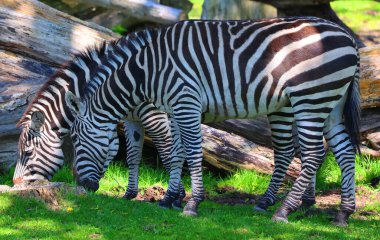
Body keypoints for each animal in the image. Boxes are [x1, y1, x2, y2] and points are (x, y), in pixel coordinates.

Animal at [14, 41, 186, 206]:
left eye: (28, 153)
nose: (15, 184)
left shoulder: (153, 116)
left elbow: (167, 153)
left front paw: (176, 196)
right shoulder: (127, 119)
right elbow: (128, 153)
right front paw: (129, 194)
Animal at [67, 17, 360, 226]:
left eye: (76, 140)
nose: (82, 186)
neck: (148, 71)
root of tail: (349, 37)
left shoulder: (186, 103)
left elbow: (192, 152)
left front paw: (192, 203)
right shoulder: (175, 109)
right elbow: (177, 153)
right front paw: (169, 199)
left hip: (310, 98)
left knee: (313, 154)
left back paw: (284, 210)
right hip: (332, 102)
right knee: (344, 153)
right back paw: (343, 214)